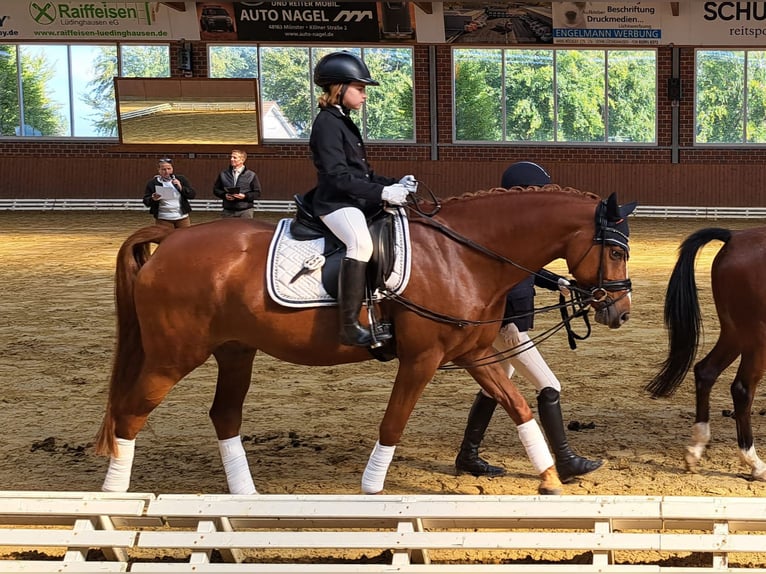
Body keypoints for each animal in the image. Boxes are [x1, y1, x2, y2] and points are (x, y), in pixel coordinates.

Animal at [96, 188, 636, 496]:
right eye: (614, 251)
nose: (620, 311)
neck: (464, 256)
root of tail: (169, 242)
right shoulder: (421, 360)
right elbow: (393, 423)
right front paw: (372, 489)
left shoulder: (474, 354)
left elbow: (519, 407)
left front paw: (549, 478)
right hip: (172, 357)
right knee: (129, 414)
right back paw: (114, 501)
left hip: (234, 351)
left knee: (223, 415)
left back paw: (246, 497)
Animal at [652, 227, 766, 484]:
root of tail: (734, 237)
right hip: (757, 338)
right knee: (742, 389)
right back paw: (755, 464)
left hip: (735, 333)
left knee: (706, 372)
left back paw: (695, 449)